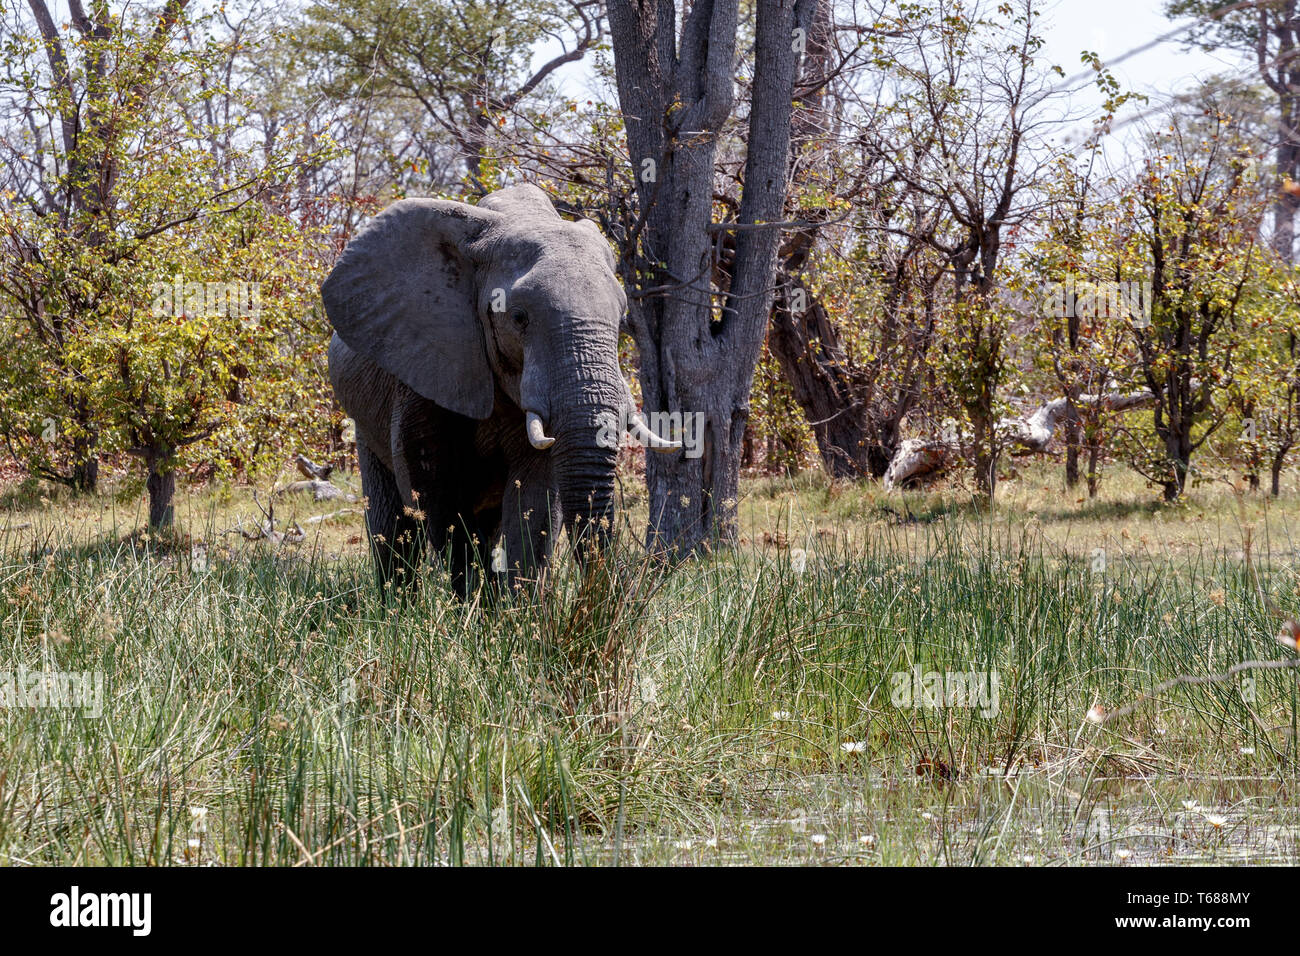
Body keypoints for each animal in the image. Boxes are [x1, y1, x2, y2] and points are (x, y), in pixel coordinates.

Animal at [321, 184, 679, 595]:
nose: (607, 595)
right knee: (392, 525)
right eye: (519, 318)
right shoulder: (426, 359)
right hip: (363, 418)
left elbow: (536, 497)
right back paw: (398, 602)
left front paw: (518, 607)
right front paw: (469, 604)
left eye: (622, 320)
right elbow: (434, 486)